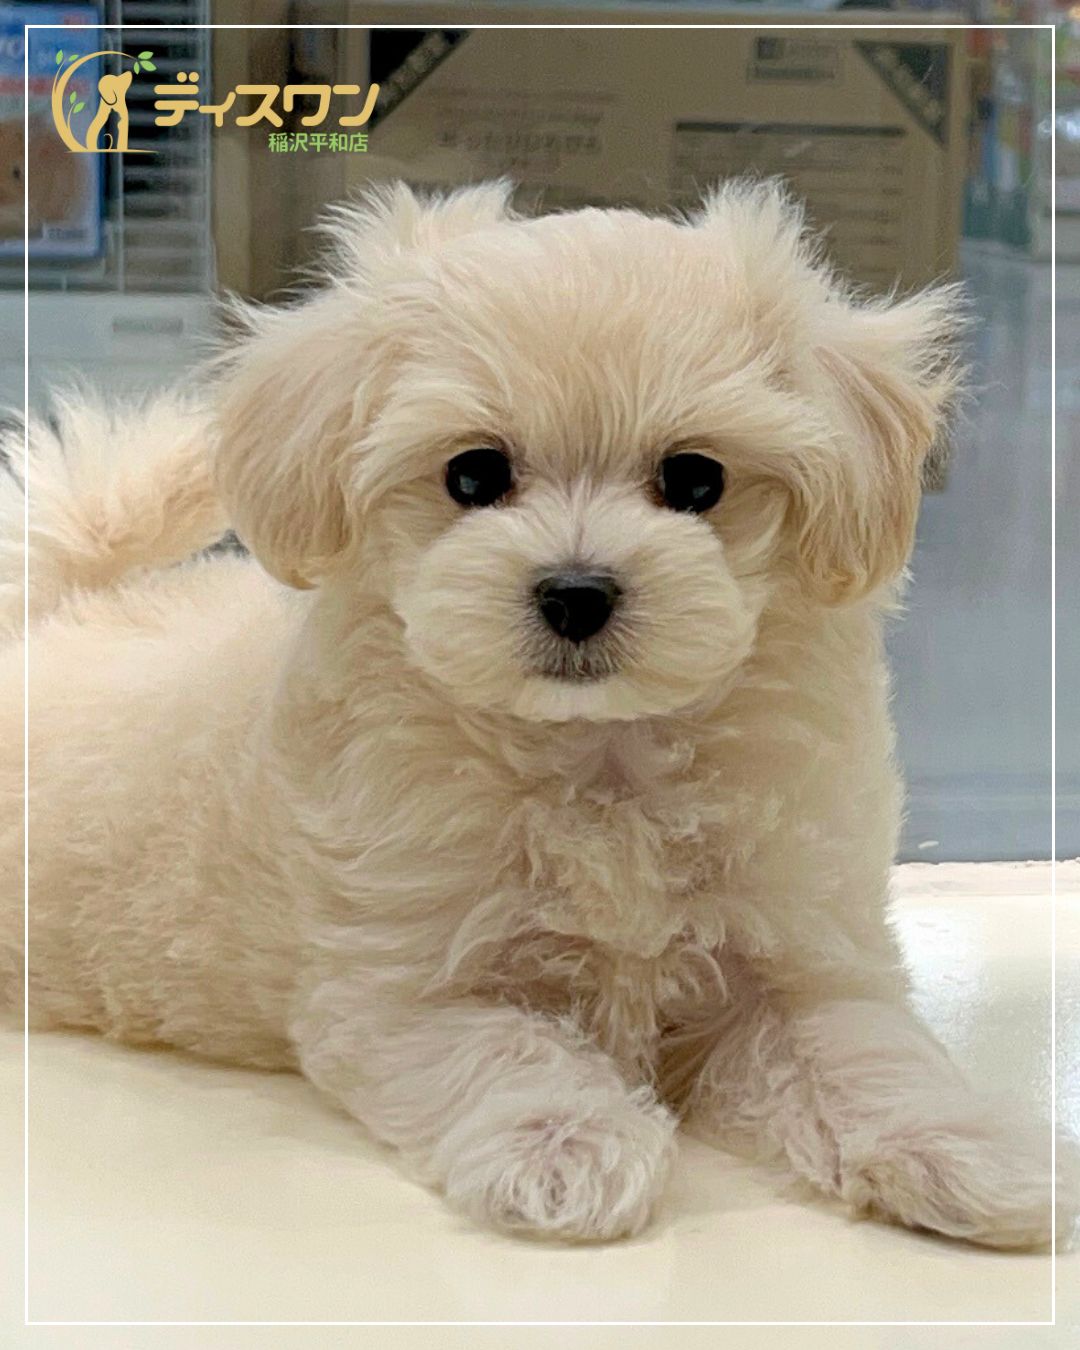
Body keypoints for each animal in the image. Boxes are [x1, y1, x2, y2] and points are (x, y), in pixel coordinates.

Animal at [1, 180, 1073, 1247]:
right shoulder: (403, 982)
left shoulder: (799, 952)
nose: (575, 591)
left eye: (697, 480)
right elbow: (507, 1049)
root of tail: (48, 610)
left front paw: (969, 1146)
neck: (600, 751)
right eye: (474, 475)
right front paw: (568, 1146)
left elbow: (860, 1050)